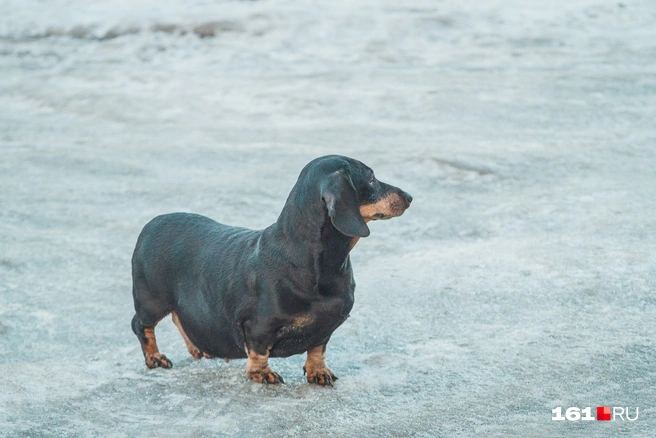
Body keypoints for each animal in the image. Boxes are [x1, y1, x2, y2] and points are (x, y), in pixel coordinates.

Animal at [131, 155, 412, 386]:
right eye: (372, 179)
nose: (410, 197)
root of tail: (150, 224)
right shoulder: (257, 326)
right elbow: (258, 351)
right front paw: (262, 374)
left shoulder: (326, 328)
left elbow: (317, 349)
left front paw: (318, 372)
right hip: (152, 300)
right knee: (141, 325)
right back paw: (155, 358)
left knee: (179, 318)